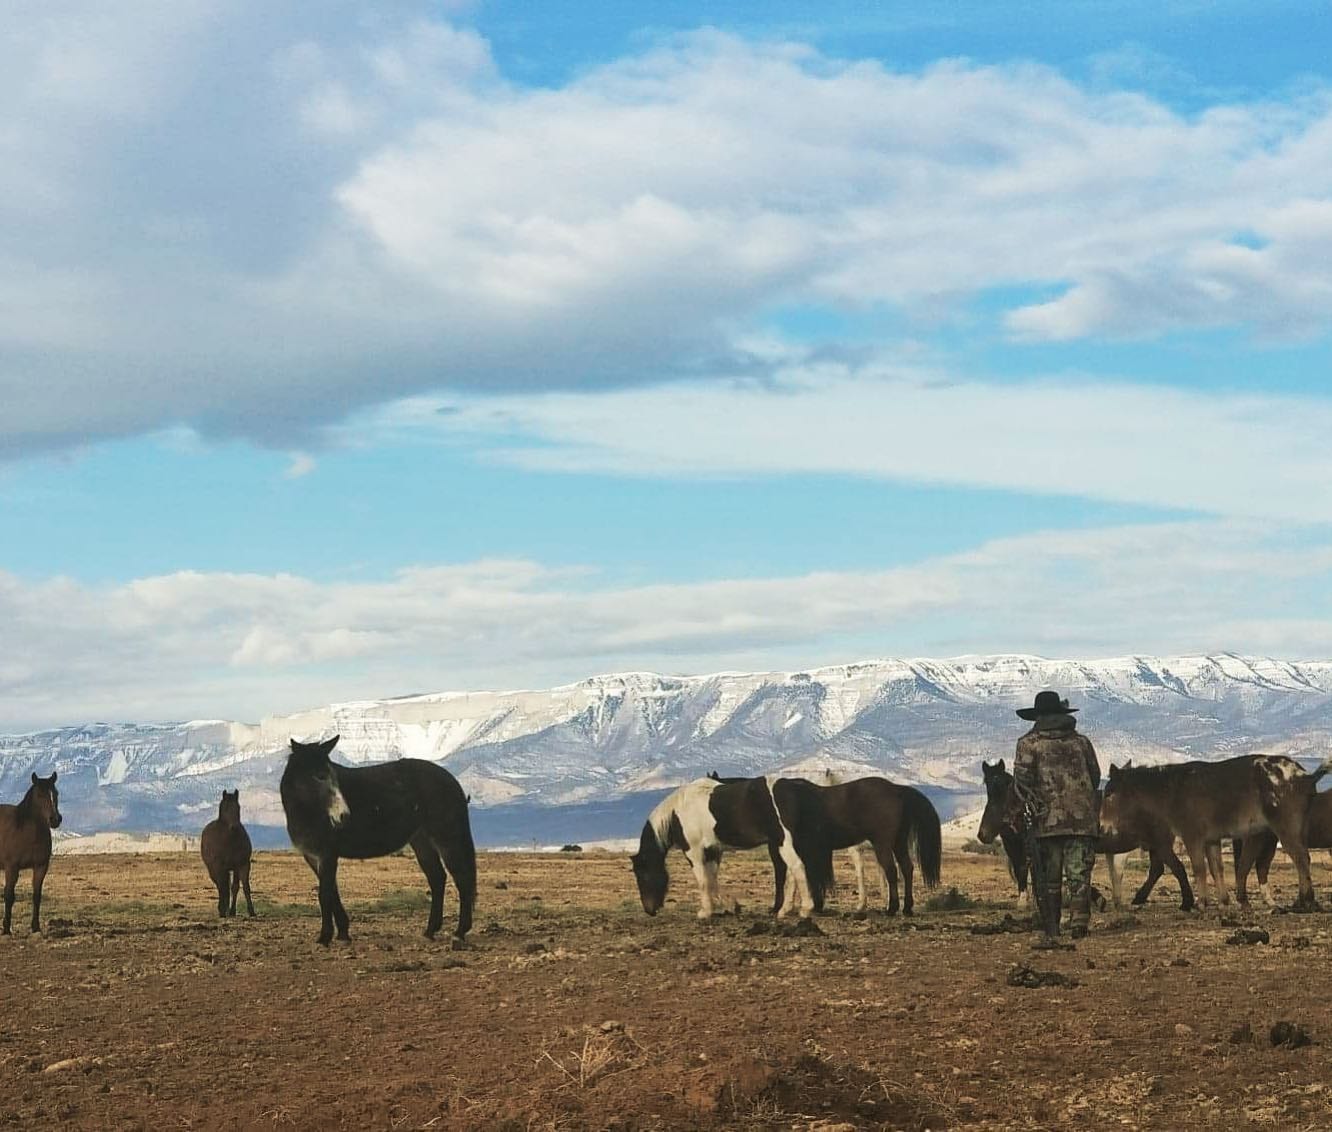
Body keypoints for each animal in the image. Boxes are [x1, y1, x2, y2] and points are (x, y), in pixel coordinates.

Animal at [1, 772, 62, 935]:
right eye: (40, 794)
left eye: (56, 793)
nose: (55, 819)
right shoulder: (11, 868)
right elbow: (9, 896)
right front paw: (6, 929)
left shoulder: (41, 867)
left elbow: (37, 896)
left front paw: (36, 927)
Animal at [201, 790, 255, 918]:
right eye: (225, 808)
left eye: (238, 807)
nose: (234, 826)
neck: (230, 840)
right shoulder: (219, 867)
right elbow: (222, 887)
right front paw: (223, 910)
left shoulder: (242, 865)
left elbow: (241, 887)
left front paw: (248, 911)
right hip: (213, 869)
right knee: (220, 886)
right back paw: (222, 909)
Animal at [280, 736, 476, 945]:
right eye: (319, 776)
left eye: (332, 775)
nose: (343, 816)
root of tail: (451, 780)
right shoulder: (312, 856)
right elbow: (333, 892)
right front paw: (343, 932)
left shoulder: (327, 854)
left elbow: (324, 894)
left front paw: (325, 936)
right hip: (421, 841)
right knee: (437, 878)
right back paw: (430, 930)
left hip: (447, 838)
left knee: (462, 878)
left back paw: (459, 932)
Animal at [631, 776, 833, 920]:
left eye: (642, 875)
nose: (649, 910)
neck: (679, 812)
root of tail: (796, 788)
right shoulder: (712, 851)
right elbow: (712, 879)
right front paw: (728, 906)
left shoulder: (693, 851)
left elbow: (703, 880)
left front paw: (705, 912)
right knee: (792, 874)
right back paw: (784, 911)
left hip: (783, 843)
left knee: (797, 868)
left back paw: (805, 909)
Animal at [1100, 754, 1331, 910]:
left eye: (1109, 793)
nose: (1102, 826)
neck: (1173, 790)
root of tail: (1306, 777)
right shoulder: (1212, 839)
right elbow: (1216, 868)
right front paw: (1223, 901)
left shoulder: (1192, 835)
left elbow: (1198, 868)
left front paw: (1201, 902)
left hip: (1285, 826)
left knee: (1301, 858)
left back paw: (1305, 900)